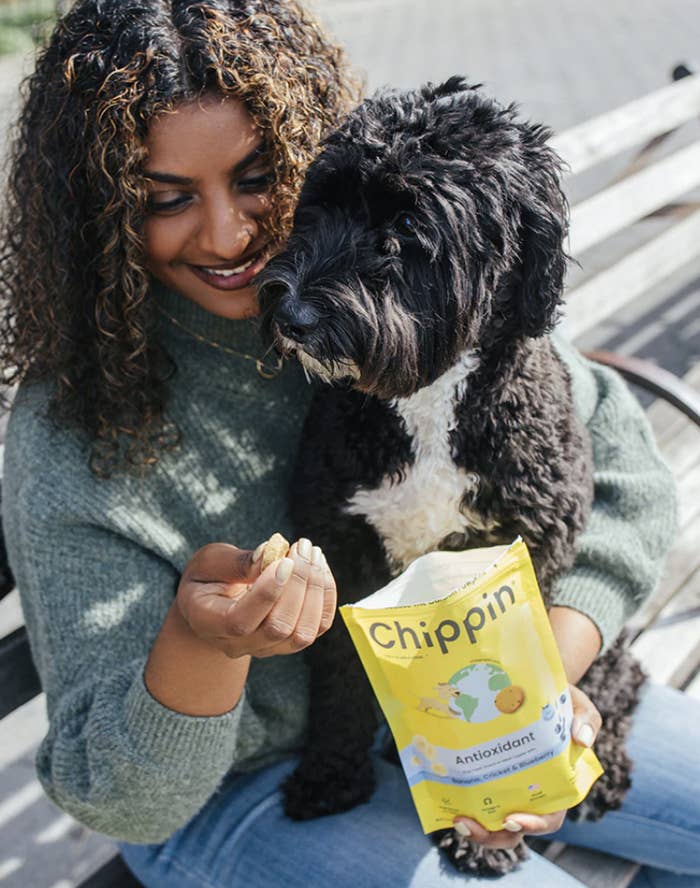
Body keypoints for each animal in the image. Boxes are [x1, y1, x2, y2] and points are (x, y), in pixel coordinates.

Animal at [258, 74, 644, 876]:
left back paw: (603, 771)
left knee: (623, 670)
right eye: (320, 204)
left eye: (407, 226)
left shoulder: (533, 543)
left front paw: (482, 827)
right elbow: (338, 675)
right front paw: (331, 776)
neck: (427, 404)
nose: (293, 311)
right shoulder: (342, 548)